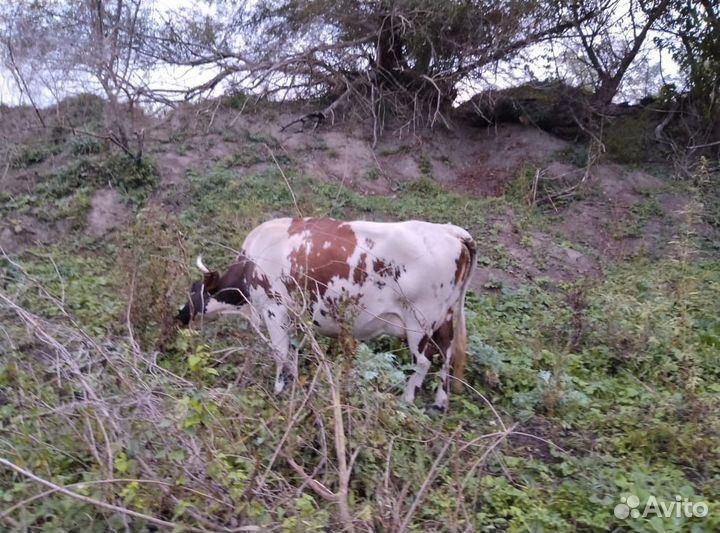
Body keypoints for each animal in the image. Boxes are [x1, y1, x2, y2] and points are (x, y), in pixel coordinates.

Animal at [177, 217, 476, 413]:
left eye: (194, 290)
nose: (180, 316)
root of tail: (449, 231)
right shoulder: (295, 318)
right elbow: (293, 354)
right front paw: (294, 384)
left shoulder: (275, 309)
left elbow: (280, 352)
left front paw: (278, 390)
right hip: (445, 318)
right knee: (447, 355)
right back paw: (439, 403)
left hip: (419, 322)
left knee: (423, 362)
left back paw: (407, 400)